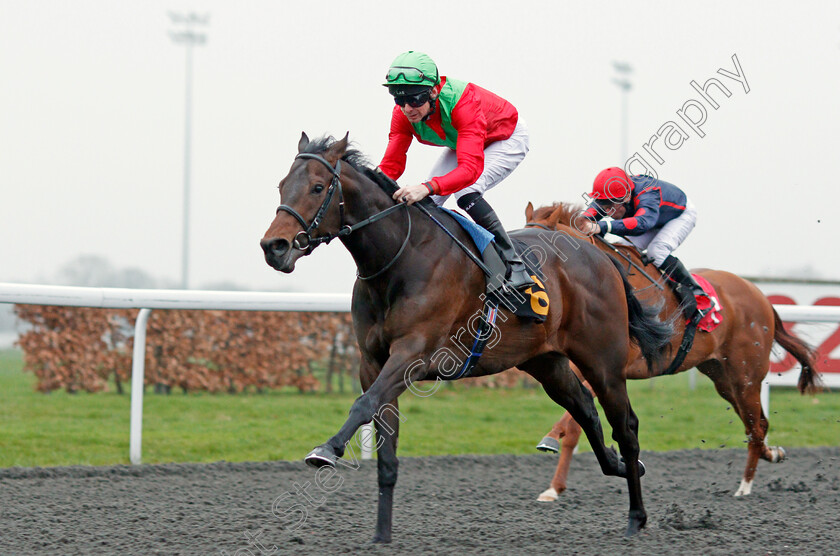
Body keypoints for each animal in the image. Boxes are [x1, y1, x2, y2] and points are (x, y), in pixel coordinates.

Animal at [260, 132, 672, 540]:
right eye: (281, 185)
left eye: (317, 187)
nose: (273, 247)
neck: (399, 257)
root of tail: (601, 255)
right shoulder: (372, 362)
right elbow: (385, 446)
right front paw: (381, 535)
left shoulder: (413, 354)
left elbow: (363, 404)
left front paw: (326, 449)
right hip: (546, 361)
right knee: (585, 408)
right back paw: (619, 466)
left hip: (603, 361)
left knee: (626, 426)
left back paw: (636, 515)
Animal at [524, 202, 820, 502]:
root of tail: (762, 297)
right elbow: (576, 420)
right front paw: (553, 486)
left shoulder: (611, 368)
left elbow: (577, 421)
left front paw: (552, 444)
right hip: (723, 378)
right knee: (758, 425)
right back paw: (771, 454)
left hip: (746, 376)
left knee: (756, 427)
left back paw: (744, 486)